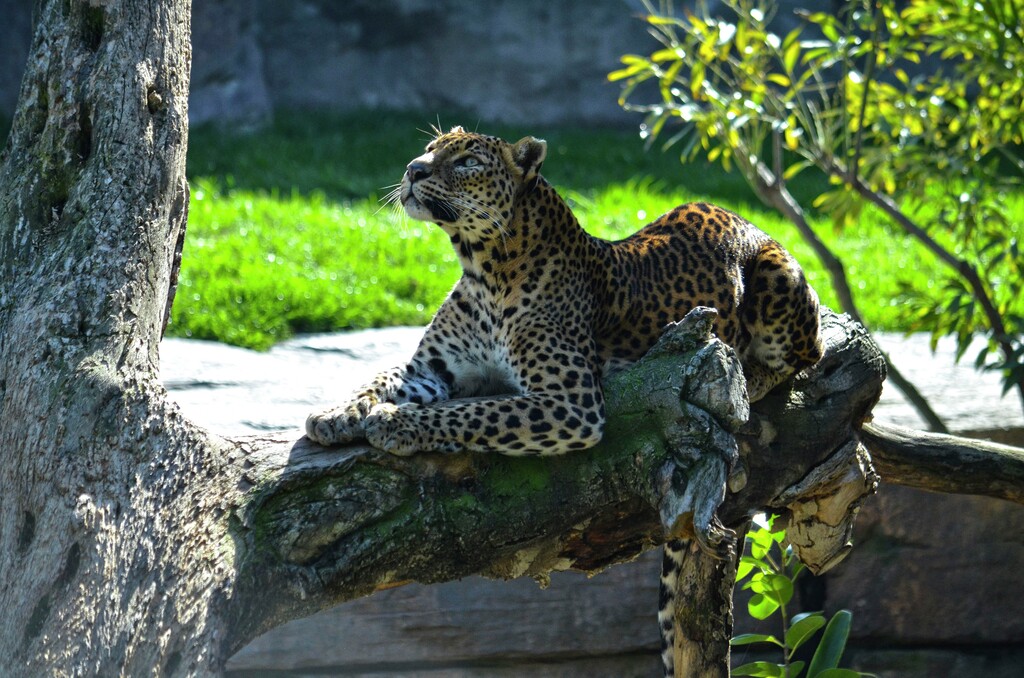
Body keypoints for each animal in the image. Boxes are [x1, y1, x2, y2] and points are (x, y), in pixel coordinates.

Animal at [305, 125, 823, 675]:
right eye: (430, 149)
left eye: (466, 161)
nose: (412, 170)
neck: (483, 268)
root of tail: (741, 217)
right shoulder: (433, 368)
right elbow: (380, 378)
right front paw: (335, 414)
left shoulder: (572, 403)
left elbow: (473, 413)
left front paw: (396, 423)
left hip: (778, 279)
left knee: (807, 354)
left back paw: (748, 373)